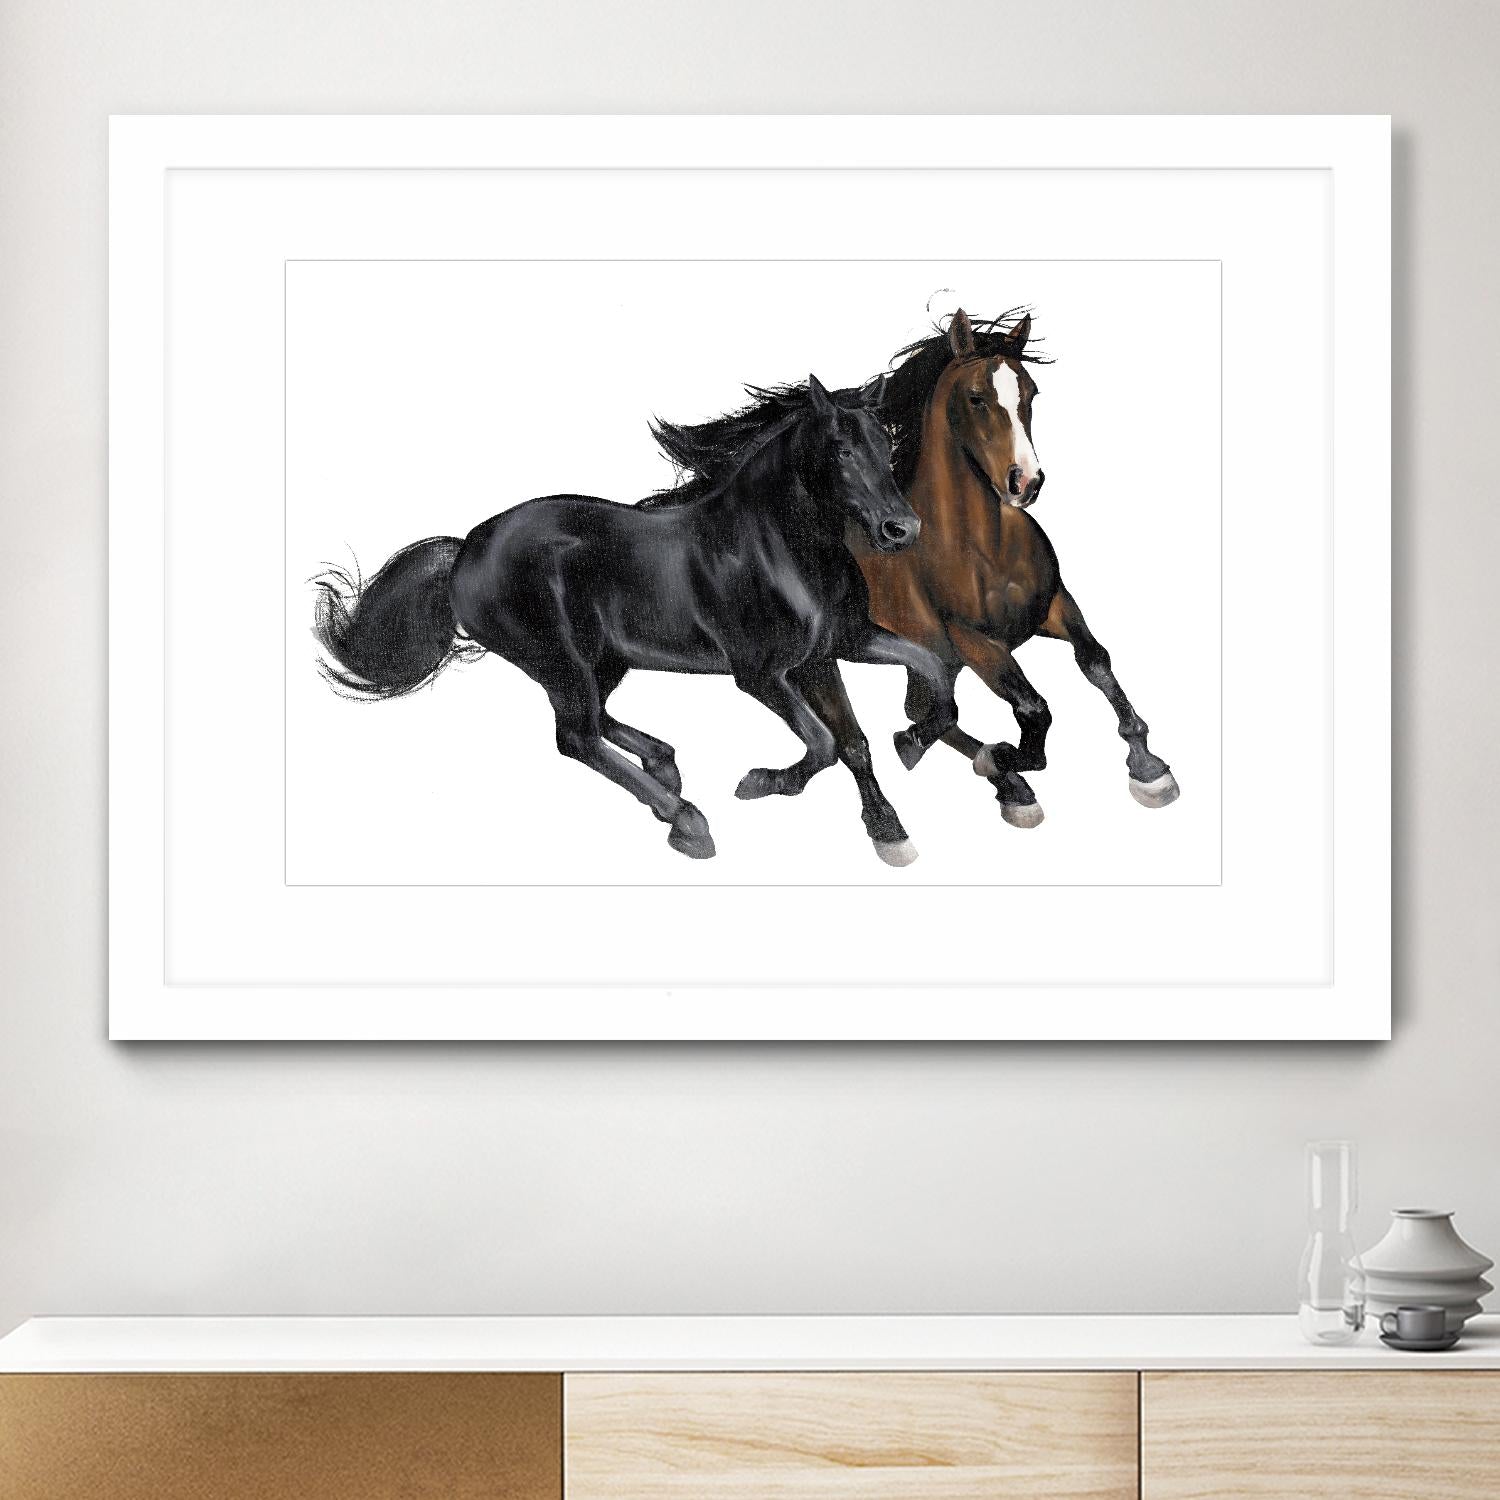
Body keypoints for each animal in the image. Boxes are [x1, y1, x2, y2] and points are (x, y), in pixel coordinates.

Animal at [313, 374, 959, 865]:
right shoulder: (761, 674)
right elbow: (825, 742)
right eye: (841, 451)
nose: (902, 530)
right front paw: (761, 782)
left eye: (886, 447)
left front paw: (898, 798)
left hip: (603, 660)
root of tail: (467, 547)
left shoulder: (835, 649)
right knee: (576, 735)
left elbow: (908, 693)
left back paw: (666, 769)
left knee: (593, 721)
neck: (776, 547)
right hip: (559, 660)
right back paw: (688, 821)